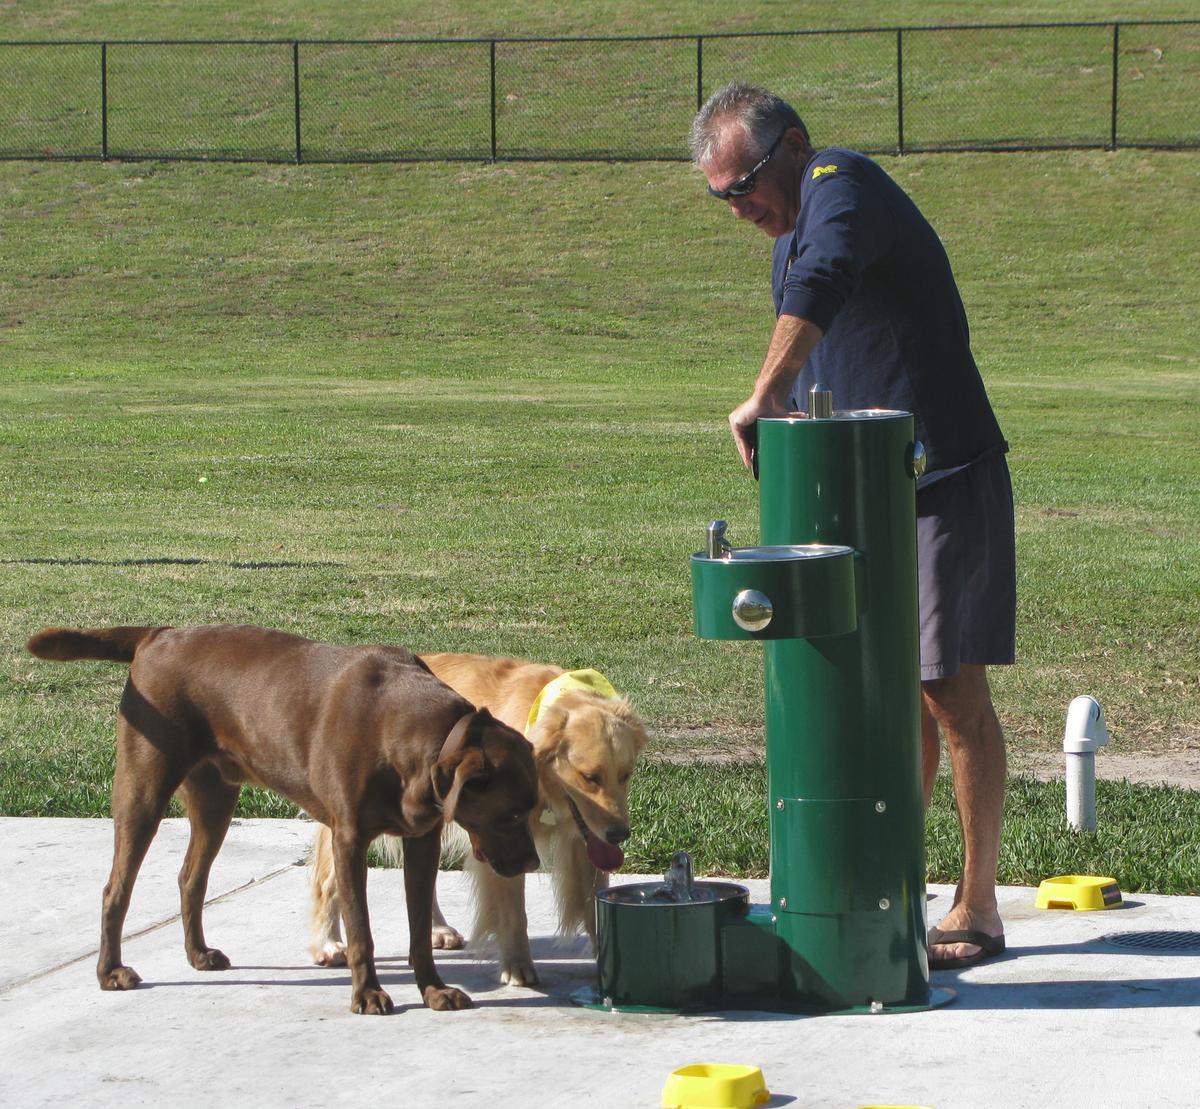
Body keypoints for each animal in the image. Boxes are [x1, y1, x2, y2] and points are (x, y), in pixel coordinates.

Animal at [24, 624, 540, 1012]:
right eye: (512, 812)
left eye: (532, 808)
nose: (534, 864)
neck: (410, 736)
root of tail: (158, 635)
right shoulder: (349, 839)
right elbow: (361, 930)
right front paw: (368, 994)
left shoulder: (423, 839)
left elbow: (417, 928)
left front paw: (433, 990)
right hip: (143, 786)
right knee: (117, 887)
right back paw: (110, 972)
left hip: (214, 797)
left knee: (191, 878)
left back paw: (198, 955)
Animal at [309, 652, 648, 984]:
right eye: (589, 777)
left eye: (626, 774)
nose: (620, 834)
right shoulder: (504, 840)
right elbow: (513, 912)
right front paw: (518, 965)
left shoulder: (582, 841)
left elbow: (594, 903)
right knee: (327, 881)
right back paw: (328, 943)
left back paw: (436, 929)